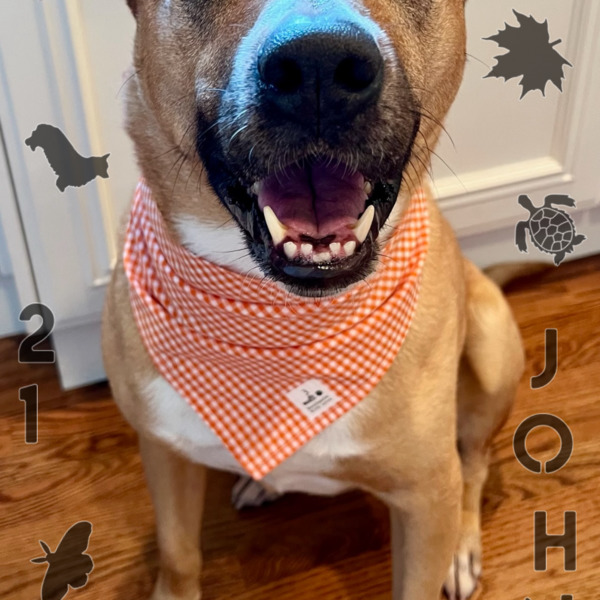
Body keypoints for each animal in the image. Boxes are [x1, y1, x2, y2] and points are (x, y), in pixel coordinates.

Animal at [102, 1, 524, 599]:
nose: (320, 66)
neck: (282, 315)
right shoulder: (164, 451)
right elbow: (178, 555)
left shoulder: (426, 500)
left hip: (489, 347)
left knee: (475, 461)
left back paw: (463, 547)